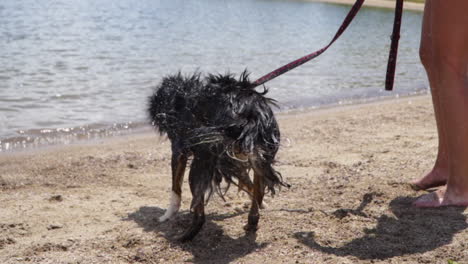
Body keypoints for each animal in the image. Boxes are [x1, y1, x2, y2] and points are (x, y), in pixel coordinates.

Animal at [148, 70, 288, 241]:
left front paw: (166, 215)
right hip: (258, 155)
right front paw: (261, 204)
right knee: (259, 188)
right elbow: (249, 184)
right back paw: (252, 221)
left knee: (200, 215)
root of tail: (250, 113)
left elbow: (175, 188)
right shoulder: (234, 162)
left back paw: (182, 237)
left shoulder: (179, 149)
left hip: (202, 161)